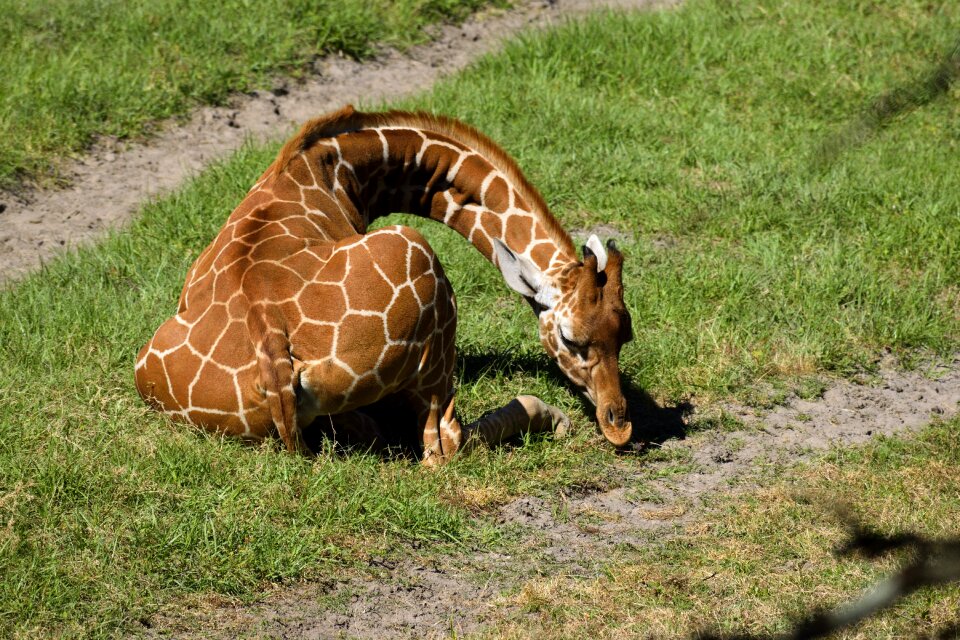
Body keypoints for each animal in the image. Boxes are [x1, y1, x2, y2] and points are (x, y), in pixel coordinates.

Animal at [133, 106, 632, 464]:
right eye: (569, 339)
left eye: (625, 334)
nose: (619, 425)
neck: (343, 166)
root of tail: (269, 338)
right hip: (422, 262)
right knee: (443, 447)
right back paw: (553, 418)